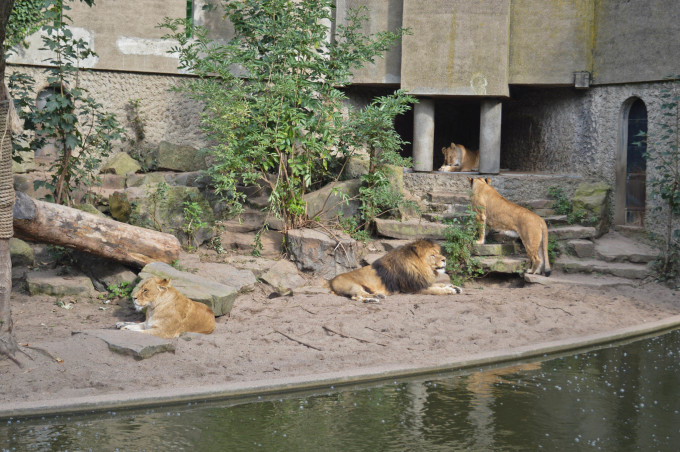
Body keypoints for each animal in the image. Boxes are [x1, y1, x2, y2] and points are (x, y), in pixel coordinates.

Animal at [330, 238, 462, 302]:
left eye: (438, 253)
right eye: (433, 255)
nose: (445, 259)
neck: (420, 269)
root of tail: (331, 281)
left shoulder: (420, 281)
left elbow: (438, 284)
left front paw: (454, 287)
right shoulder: (412, 288)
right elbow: (435, 290)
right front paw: (450, 290)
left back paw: (375, 298)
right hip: (354, 286)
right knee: (356, 296)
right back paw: (375, 298)